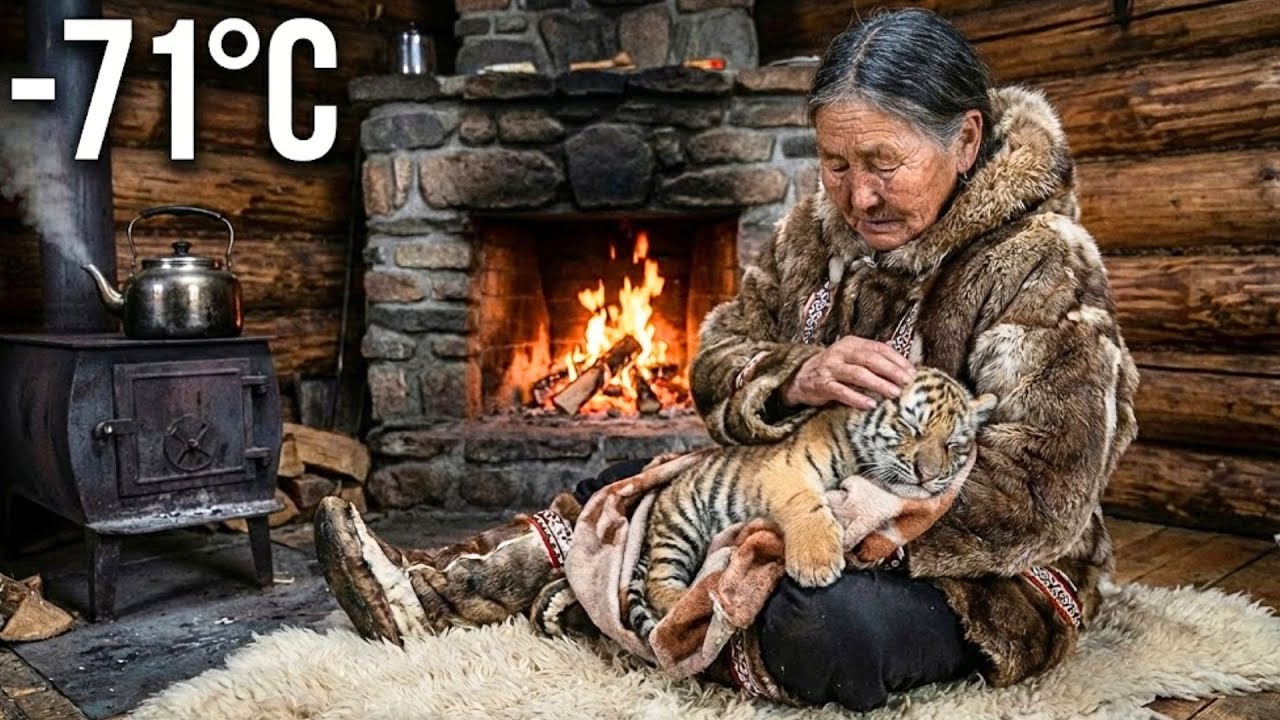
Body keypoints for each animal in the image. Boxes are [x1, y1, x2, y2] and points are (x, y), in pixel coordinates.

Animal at [625, 367, 998, 640]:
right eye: (910, 426)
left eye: (952, 443)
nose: (927, 476)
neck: (860, 460)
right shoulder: (786, 468)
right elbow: (807, 504)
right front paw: (816, 562)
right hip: (680, 526)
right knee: (657, 582)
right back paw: (688, 606)